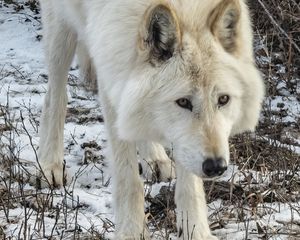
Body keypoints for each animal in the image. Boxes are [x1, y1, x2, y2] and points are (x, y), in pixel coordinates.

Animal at [38, 0, 264, 239]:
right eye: (183, 102)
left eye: (223, 99)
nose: (216, 167)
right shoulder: (111, 79)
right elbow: (128, 180)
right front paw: (131, 232)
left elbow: (190, 185)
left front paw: (196, 231)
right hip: (59, 31)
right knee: (55, 96)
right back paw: (50, 165)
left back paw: (156, 159)